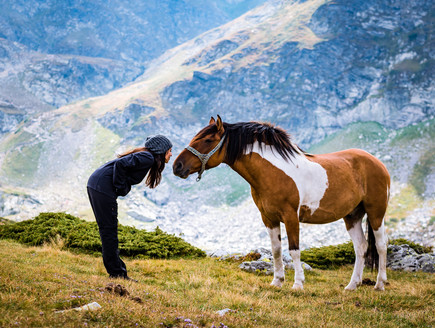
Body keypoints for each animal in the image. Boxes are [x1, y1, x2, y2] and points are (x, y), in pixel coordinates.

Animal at [173, 115, 392, 290]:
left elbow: (294, 250)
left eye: (208, 140)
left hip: (376, 212)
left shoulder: (291, 217)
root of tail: (378, 163)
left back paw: (379, 284)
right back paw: (352, 285)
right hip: (352, 215)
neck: (273, 172)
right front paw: (277, 281)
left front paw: (298, 284)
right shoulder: (268, 218)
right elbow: (276, 249)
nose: (177, 166)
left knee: (381, 245)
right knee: (361, 247)